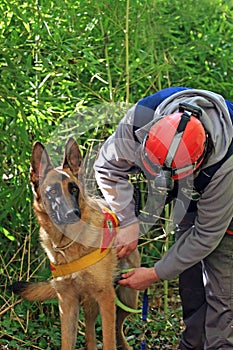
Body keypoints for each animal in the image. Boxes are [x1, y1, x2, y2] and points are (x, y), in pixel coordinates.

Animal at [11, 138, 140, 348]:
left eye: (74, 189)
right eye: (53, 192)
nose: (73, 214)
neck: (69, 244)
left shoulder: (106, 297)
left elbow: (109, 340)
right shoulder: (67, 302)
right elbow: (67, 342)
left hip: (127, 298)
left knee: (117, 328)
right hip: (91, 303)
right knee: (91, 332)